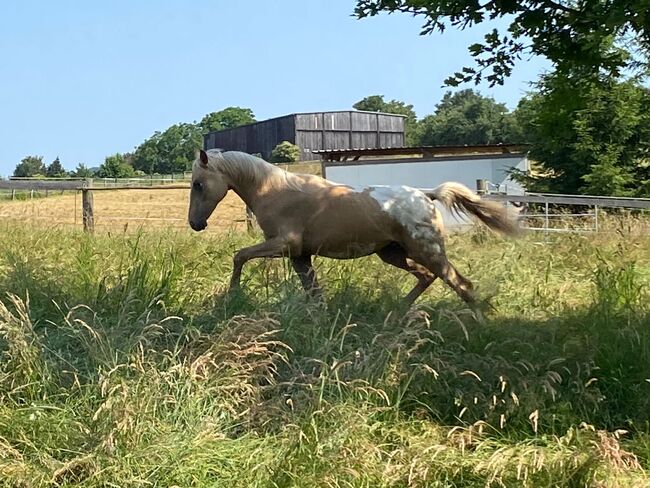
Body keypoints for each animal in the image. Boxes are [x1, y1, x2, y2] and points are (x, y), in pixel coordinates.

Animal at [187, 150, 516, 308]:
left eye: (198, 184)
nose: (195, 223)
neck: (274, 191)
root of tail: (427, 196)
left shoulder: (284, 245)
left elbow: (239, 255)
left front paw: (232, 295)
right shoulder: (300, 256)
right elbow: (315, 294)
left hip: (428, 252)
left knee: (461, 284)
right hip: (393, 254)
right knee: (427, 278)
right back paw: (394, 314)